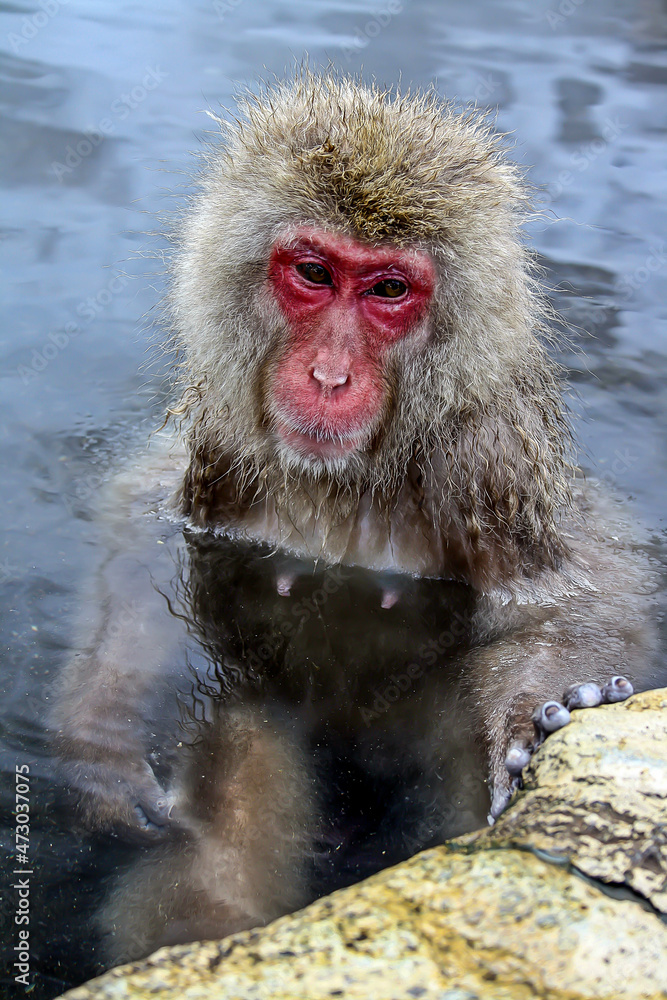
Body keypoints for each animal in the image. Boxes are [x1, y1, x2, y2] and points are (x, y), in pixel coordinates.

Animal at [51, 71, 660, 966]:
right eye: (313, 272)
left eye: (387, 290)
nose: (330, 376)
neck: (343, 486)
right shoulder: (214, 461)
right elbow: (140, 537)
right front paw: (103, 742)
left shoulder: (494, 473)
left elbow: (583, 589)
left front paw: (545, 712)